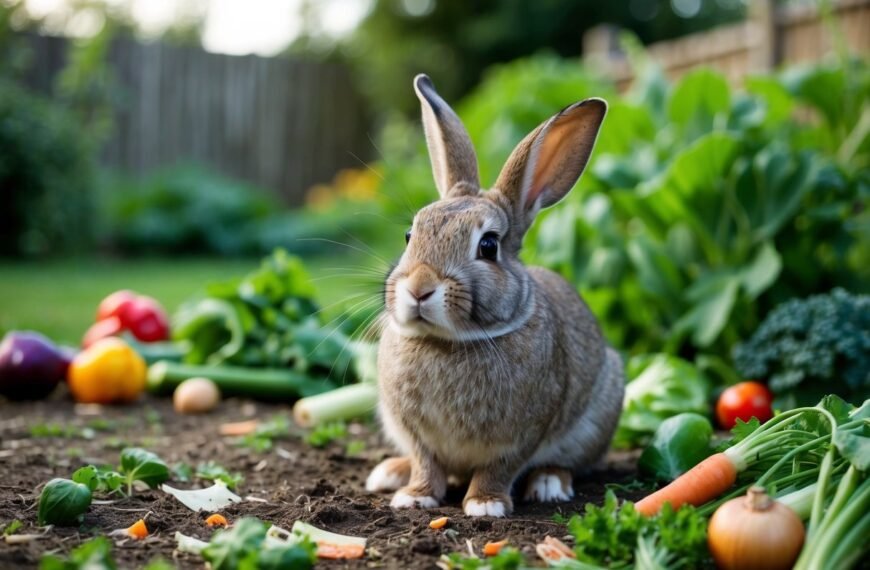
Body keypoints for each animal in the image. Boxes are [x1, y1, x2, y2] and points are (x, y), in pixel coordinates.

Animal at [368, 74, 628, 516]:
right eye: (409, 235)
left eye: (488, 246)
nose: (419, 288)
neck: (447, 343)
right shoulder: (415, 434)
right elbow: (425, 462)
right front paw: (414, 497)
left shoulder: (522, 435)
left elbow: (499, 467)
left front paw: (485, 504)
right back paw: (389, 473)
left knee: (571, 463)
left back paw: (548, 483)